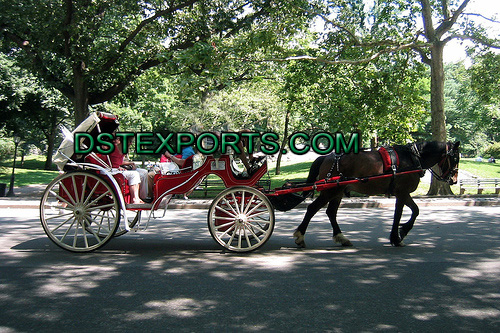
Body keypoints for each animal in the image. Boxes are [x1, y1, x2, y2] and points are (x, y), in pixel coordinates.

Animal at [292, 140, 460, 246]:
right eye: (456, 158)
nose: (453, 179)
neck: (413, 158)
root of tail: (326, 157)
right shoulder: (402, 192)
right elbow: (402, 214)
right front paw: (398, 236)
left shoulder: (403, 193)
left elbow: (413, 211)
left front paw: (401, 232)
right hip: (330, 191)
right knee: (312, 208)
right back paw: (300, 236)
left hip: (337, 191)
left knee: (331, 213)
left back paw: (341, 237)